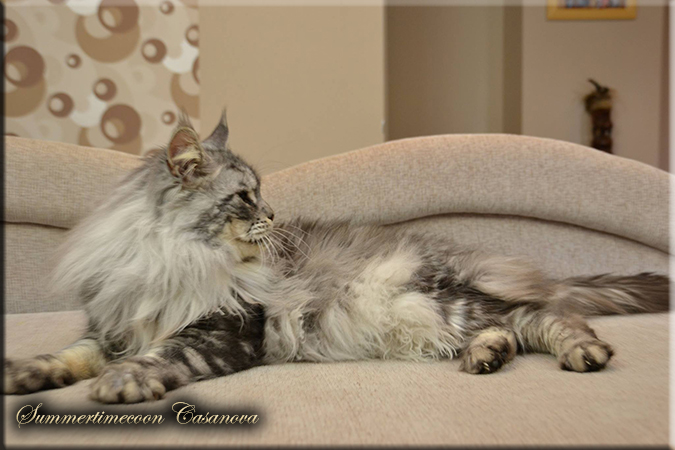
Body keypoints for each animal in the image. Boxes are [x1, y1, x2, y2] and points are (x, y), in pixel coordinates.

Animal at [4, 114, 669, 404]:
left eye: (262, 192)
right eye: (245, 196)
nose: (274, 213)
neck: (173, 255)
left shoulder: (223, 328)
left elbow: (163, 356)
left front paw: (125, 381)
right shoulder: (111, 324)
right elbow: (69, 355)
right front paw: (28, 372)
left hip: (431, 299)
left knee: (547, 317)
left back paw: (581, 353)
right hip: (431, 315)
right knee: (513, 327)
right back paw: (486, 357)